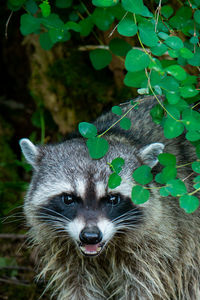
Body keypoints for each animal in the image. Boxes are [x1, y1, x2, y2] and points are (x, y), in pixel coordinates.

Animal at [19, 96, 200, 300]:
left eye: (113, 199)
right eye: (68, 199)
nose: (90, 236)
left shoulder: (160, 243)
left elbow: (144, 287)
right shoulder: (65, 255)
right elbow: (77, 285)